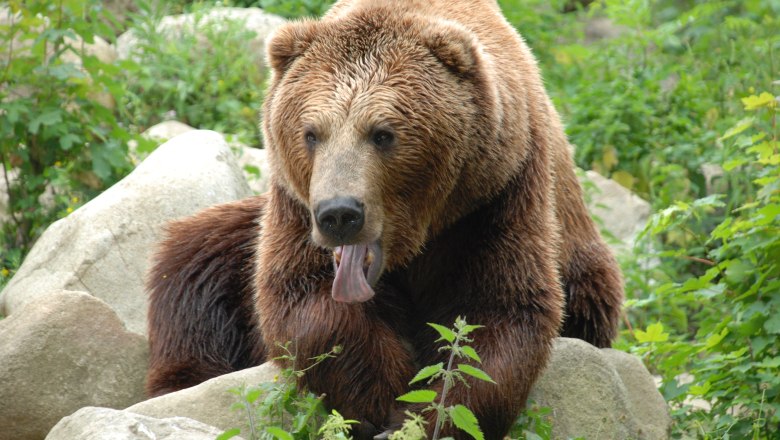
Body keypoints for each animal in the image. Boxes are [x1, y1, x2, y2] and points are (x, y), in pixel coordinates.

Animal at [145, 0, 620, 440]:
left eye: (383, 133)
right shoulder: (294, 208)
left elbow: (495, 315)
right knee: (194, 264)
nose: (339, 214)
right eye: (310, 133)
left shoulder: (496, 197)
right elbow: (306, 300)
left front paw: (422, 417)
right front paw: (379, 400)